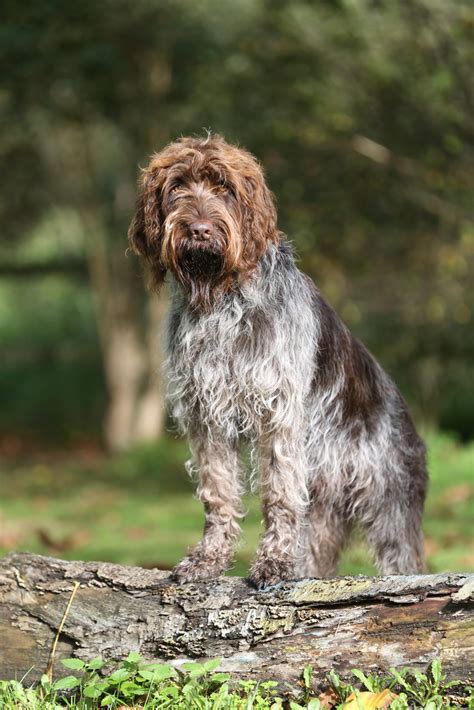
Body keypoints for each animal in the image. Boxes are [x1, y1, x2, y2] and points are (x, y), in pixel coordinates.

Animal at [128, 134, 428, 588]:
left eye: (224, 188)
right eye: (177, 186)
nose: (199, 230)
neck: (223, 301)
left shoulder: (279, 414)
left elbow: (280, 494)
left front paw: (273, 562)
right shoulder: (206, 416)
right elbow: (218, 493)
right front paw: (209, 558)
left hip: (389, 506)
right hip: (324, 512)